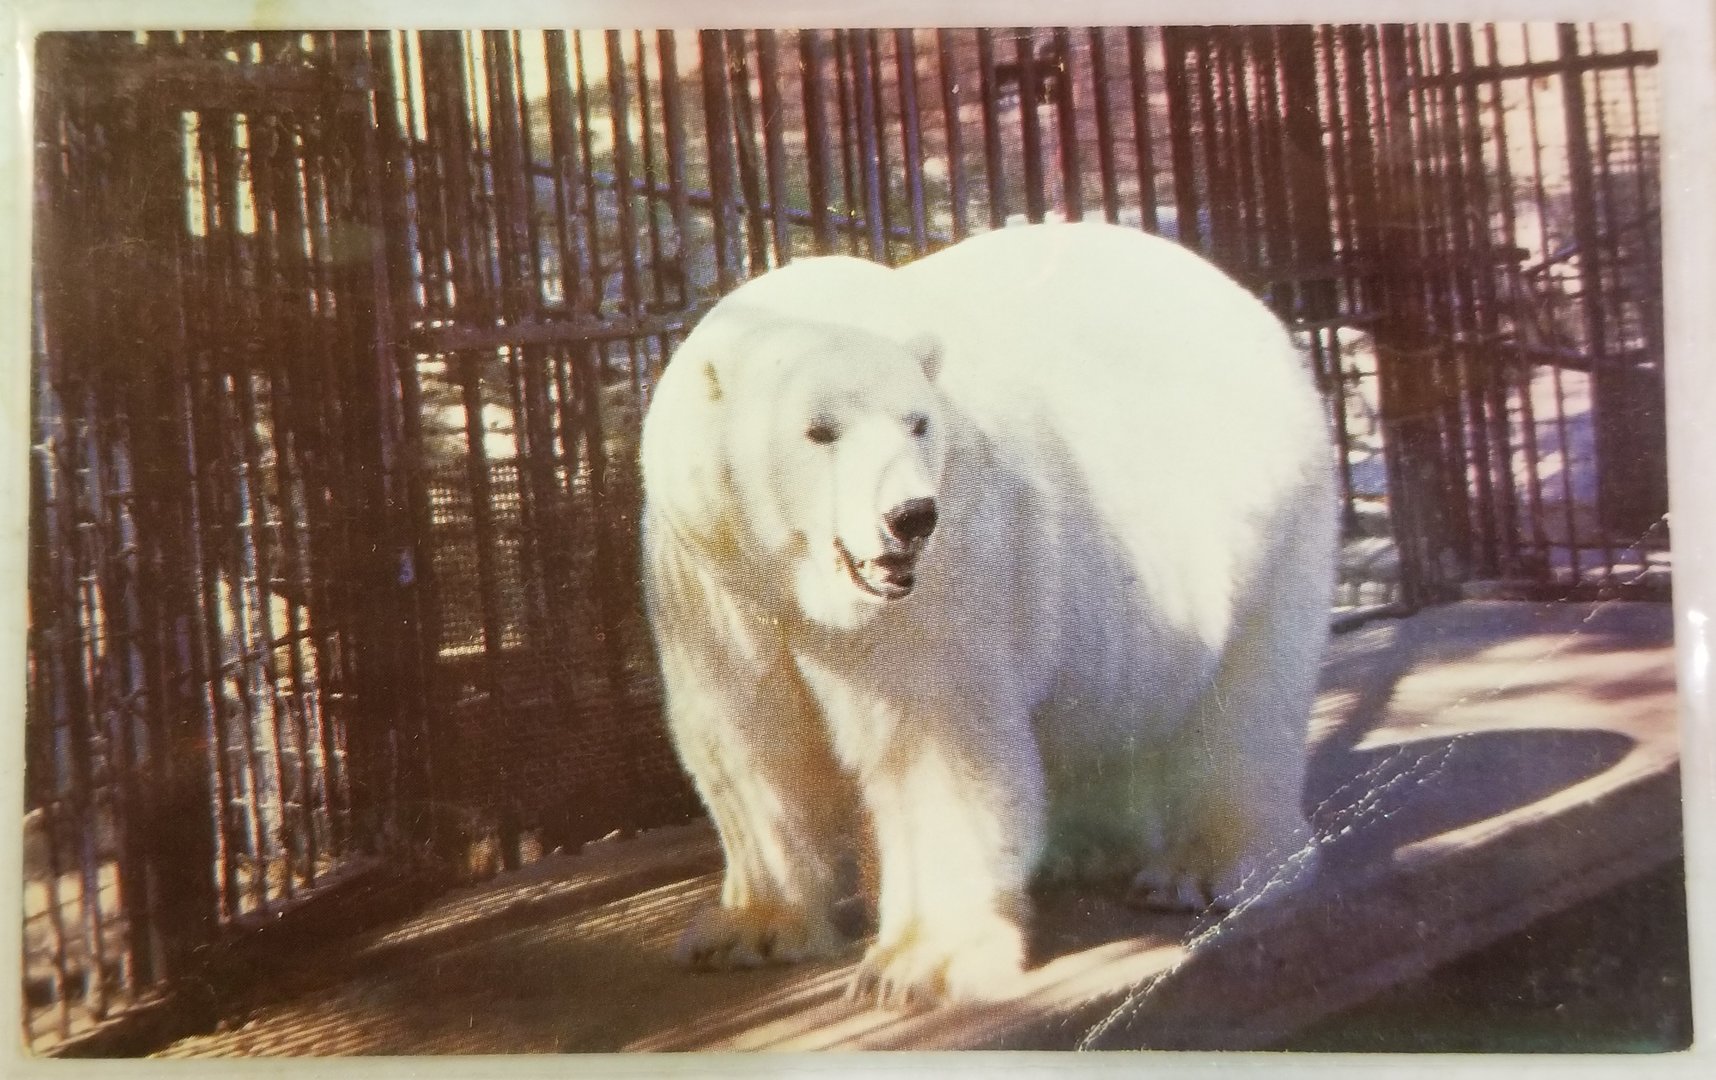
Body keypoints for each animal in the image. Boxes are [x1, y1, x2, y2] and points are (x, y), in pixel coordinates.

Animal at [638, 221, 1338, 1006]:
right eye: (819, 431)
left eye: (918, 423)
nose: (910, 516)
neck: (799, 581)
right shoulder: (712, 577)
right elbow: (748, 736)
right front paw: (745, 931)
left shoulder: (946, 577)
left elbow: (931, 741)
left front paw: (921, 964)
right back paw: (1077, 849)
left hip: (1263, 529)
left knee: (1246, 703)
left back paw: (1209, 870)